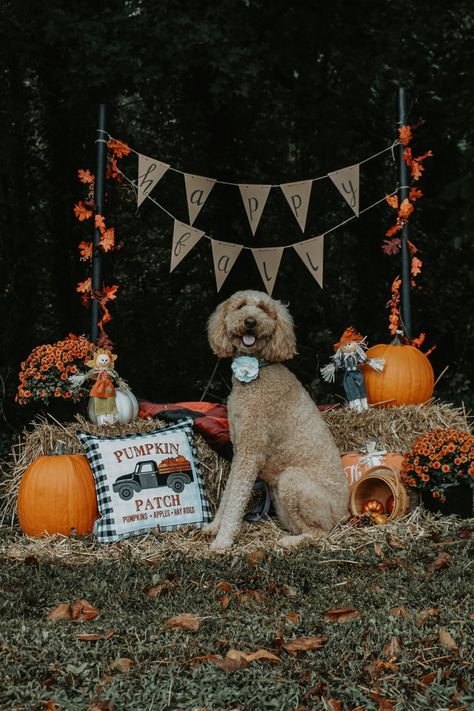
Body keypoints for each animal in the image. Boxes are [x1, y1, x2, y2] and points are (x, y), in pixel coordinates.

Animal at [206, 290, 350, 552]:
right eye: (240, 306)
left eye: (264, 309)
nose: (250, 321)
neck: (257, 372)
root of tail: (344, 514)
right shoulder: (240, 449)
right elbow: (228, 493)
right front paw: (214, 528)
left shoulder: (250, 452)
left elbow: (235, 500)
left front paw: (222, 541)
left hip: (292, 481)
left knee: (319, 533)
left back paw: (290, 541)